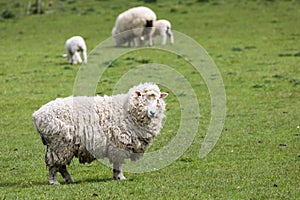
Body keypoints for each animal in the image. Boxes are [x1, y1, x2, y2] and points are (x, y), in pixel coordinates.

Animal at [33, 82, 169, 184]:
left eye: (158, 100)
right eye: (144, 99)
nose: (153, 113)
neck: (129, 110)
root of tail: (37, 114)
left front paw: (116, 177)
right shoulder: (119, 145)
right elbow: (118, 163)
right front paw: (120, 177)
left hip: (62, 146)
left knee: (61, 165)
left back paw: (69, 180)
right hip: (60, 144)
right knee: (54, 164)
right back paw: (54, 181)